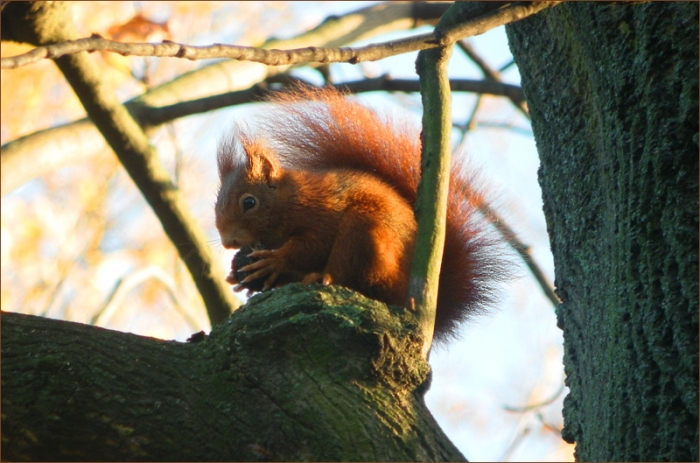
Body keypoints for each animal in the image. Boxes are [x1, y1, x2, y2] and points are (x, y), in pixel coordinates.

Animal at [215, 86, 509, 342]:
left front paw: (274, 261)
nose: (228, 242)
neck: (286, 201)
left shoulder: (317, 211)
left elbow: (312, 245)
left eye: (249, 202)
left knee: (349, 270)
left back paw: (322, 277)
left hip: (363, 228)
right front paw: (241, 276)